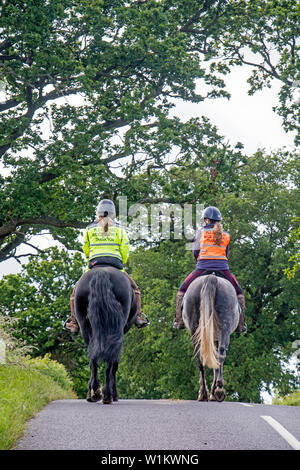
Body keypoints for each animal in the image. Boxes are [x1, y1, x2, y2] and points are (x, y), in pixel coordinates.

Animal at [74, 268, 137, 404]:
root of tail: (102, 272)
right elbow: (115, 366)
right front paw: (115, 394)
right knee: (109, 360)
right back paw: (106, 394)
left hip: (85, 328)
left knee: (93, 359)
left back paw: (96, 392)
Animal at [182, 274, 240, 402]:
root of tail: (211, 278)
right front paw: (215, 391)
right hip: (224, 327)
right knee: (220, 353)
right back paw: (218, 389)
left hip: (196, 330)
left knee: (200, 358)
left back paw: (205, 393)